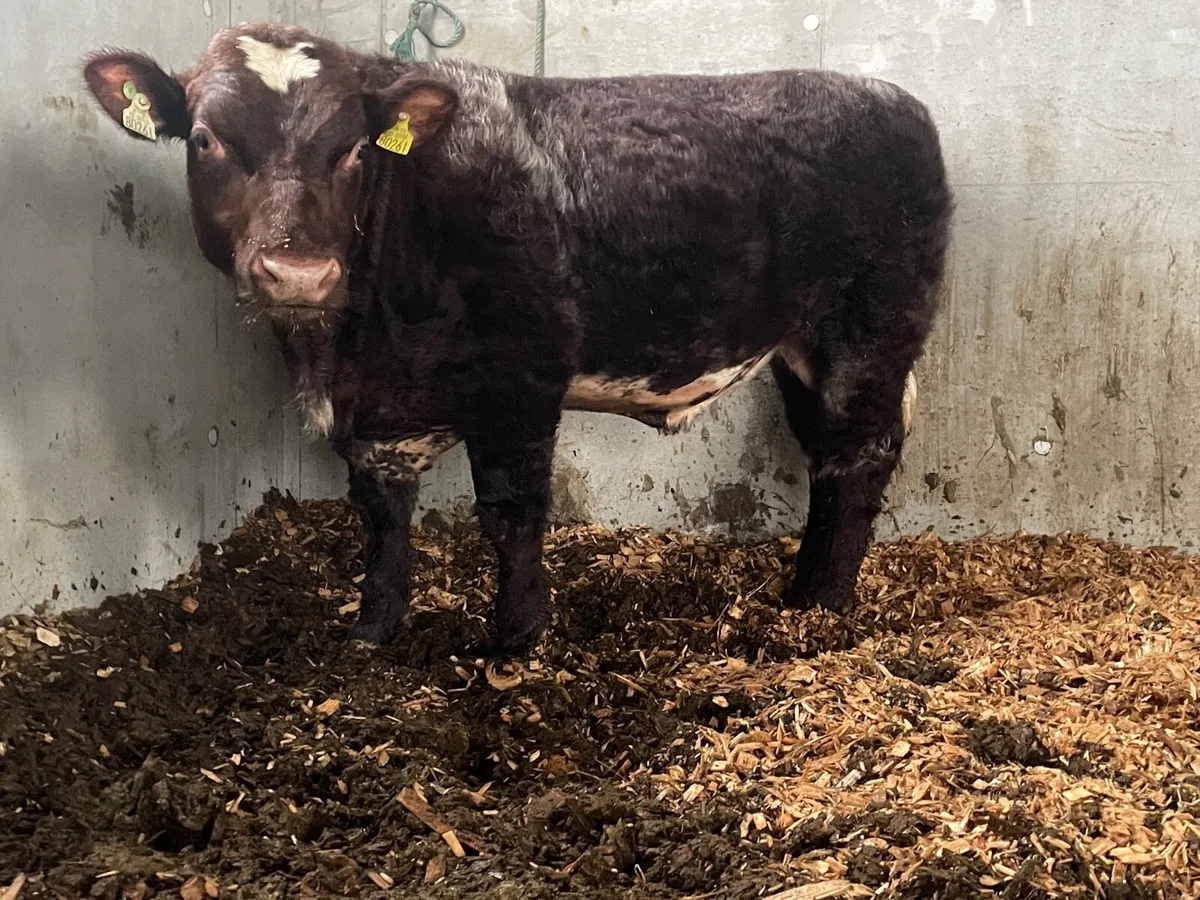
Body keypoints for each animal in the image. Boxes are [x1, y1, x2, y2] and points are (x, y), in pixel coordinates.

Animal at [82, 24, 952, 654]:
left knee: (858, 457)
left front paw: (513, 640)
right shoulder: (374, 416)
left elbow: (510, 512)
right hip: (803, 354)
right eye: (204, 139)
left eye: (354, 147)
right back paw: (802, 595)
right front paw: (372, 630)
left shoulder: (522, 374)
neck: (351, 346)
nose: (298, 271)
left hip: (868, 332)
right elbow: (380, 516)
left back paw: (822, 608)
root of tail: (890, 96)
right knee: (827, 457)